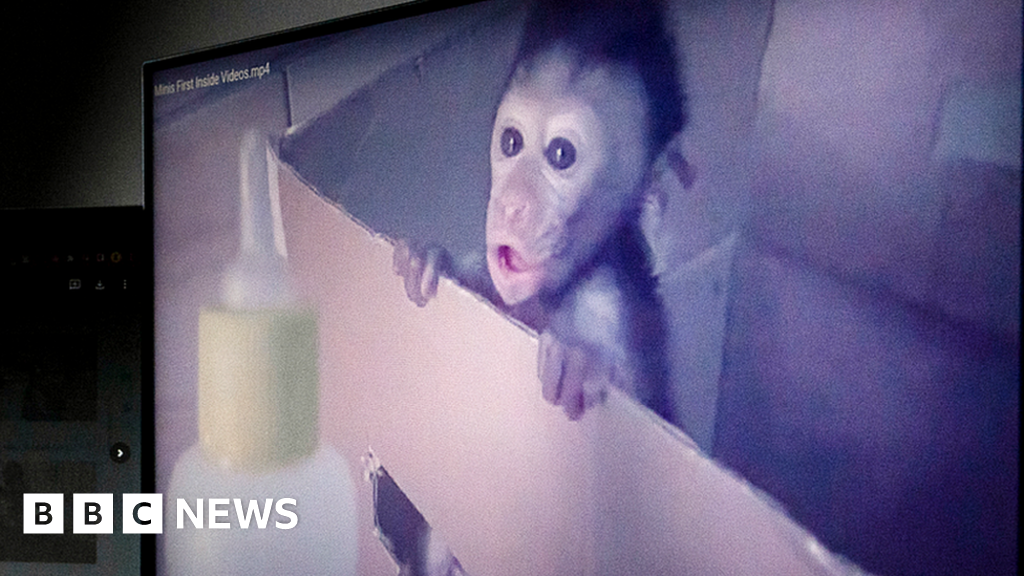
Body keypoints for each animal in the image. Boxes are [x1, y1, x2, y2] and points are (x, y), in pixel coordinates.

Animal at [395, 0, 684, 422]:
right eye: (511, 142)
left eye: (561, 154)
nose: (511, 203)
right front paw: (427, 258)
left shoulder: (607, 301)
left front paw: (581, 360)